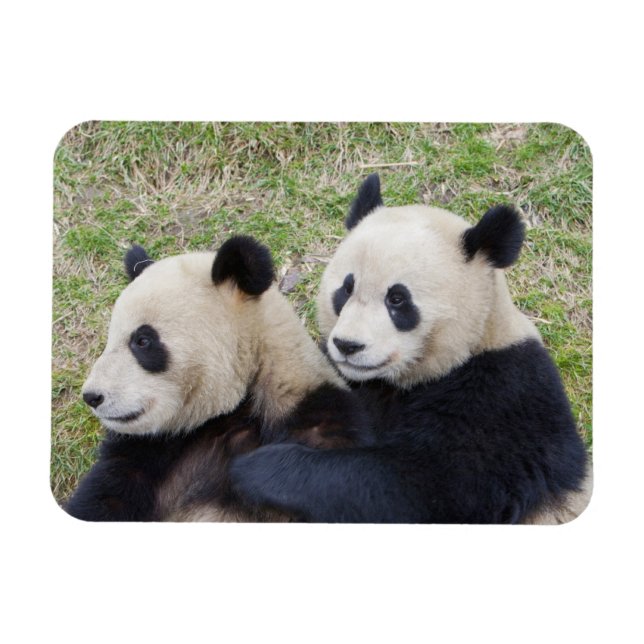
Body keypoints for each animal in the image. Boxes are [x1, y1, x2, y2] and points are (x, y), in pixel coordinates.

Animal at [230, 174, 592, 524]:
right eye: (346, 289)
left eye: (397, 299)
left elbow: (422, 488)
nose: (348, 345)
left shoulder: (504, 399)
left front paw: (259, 468)